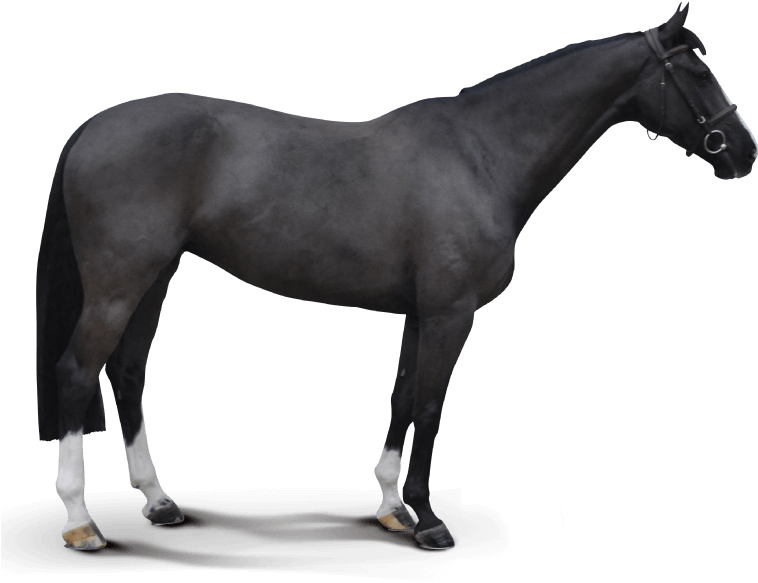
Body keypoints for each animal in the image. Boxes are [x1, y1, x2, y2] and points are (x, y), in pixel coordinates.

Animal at [36, 4, 756, 551]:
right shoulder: (451, 312)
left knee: (128, 372)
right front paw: (430, 519)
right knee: (76, 371)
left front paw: (392, 506)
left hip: (155, 276)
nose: (746, 151)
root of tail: (92, 127)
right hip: (118, 285)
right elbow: (433, 405)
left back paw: (158, 500)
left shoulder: (419, 309)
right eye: (698, 69)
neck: (480, 153)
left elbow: (403, 395)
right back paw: (81, 520)